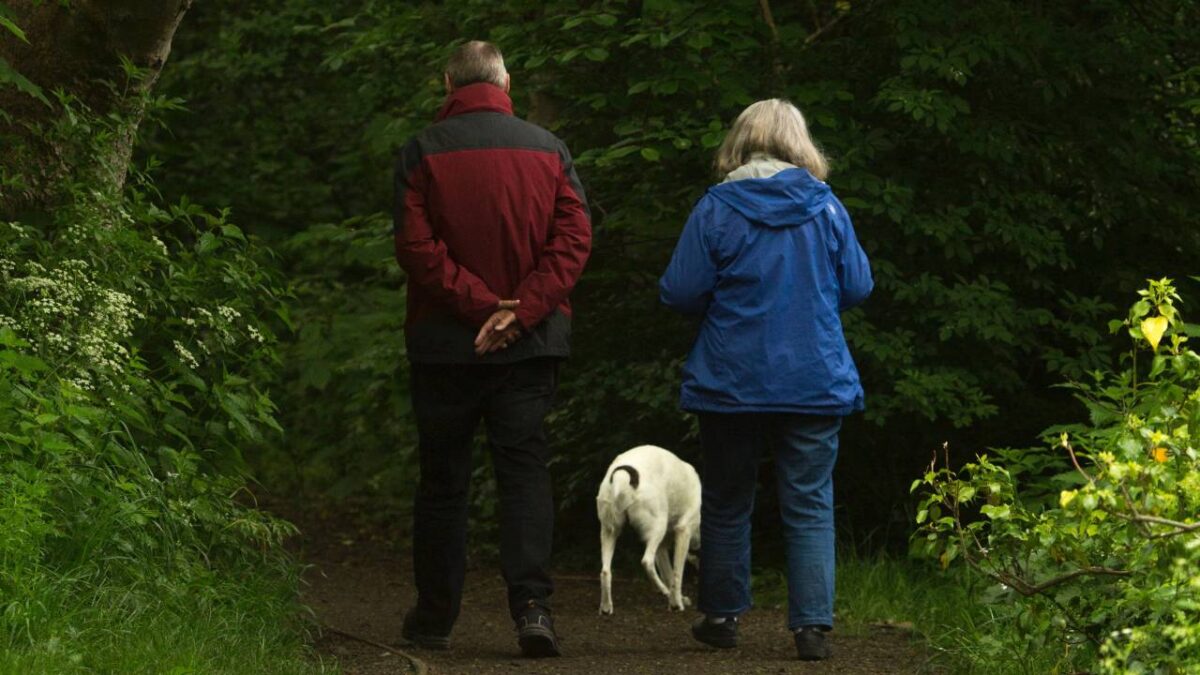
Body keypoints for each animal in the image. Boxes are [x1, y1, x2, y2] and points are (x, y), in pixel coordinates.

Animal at [595, 444, 700, 612]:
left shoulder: (662, 547)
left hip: (609, 531)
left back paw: (606, 607)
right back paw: (663, 590)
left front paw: (675, 599)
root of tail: (622, 476)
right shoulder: (683, 531)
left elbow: (669, 574)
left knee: (605, 571)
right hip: (658, 527)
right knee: (646, 562)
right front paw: (676, 602)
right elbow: (676, 574)